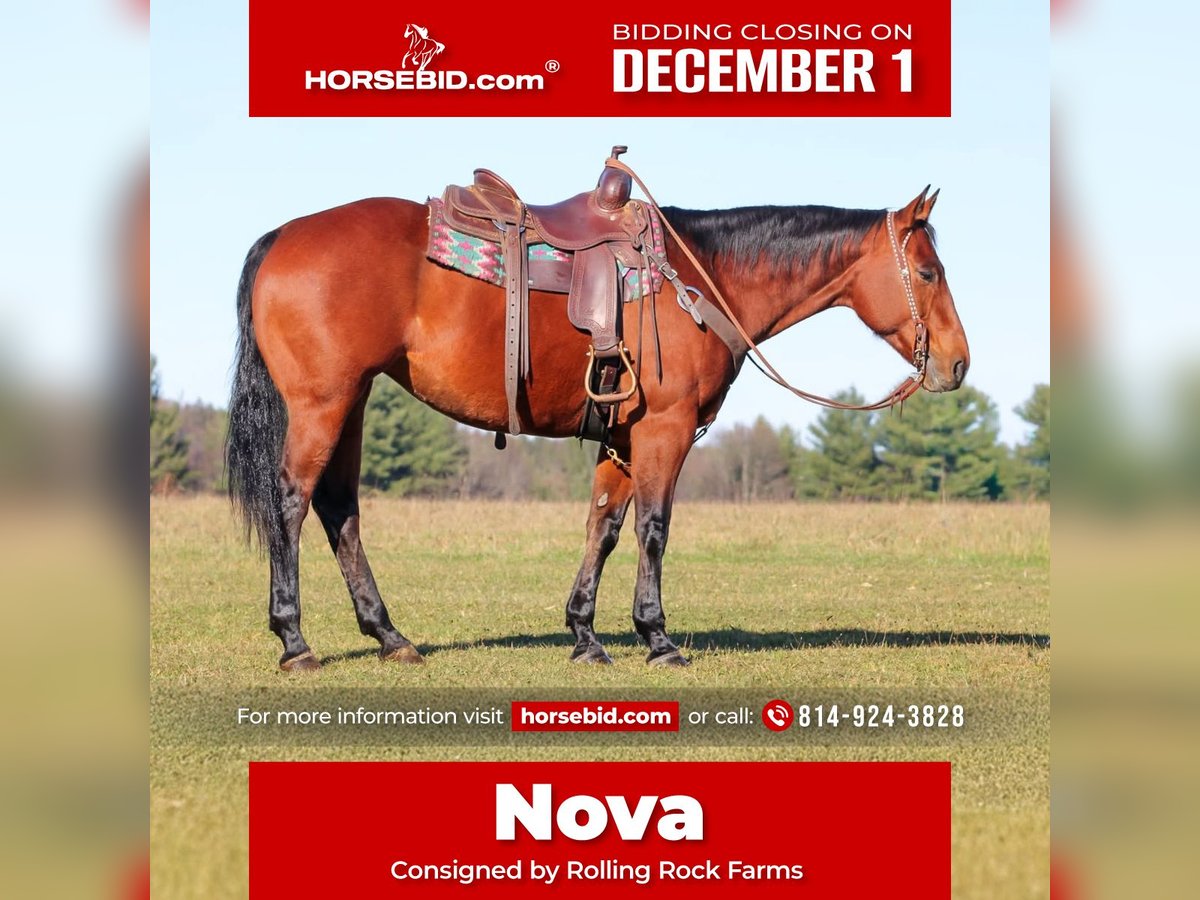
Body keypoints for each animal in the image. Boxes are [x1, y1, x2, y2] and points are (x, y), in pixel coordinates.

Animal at [225, 178, 969, 672]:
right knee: (291, 502)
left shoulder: (621, 440)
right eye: (929, 271)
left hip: (351, 404)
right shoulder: (665, 431)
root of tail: (283, 236)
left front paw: (584, 635)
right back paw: (294, 641)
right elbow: (652, 530)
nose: (958, 363)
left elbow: (603, 528)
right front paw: (657, 637)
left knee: (339, 509)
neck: (698, 279)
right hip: (322, 404)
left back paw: (389, 636)